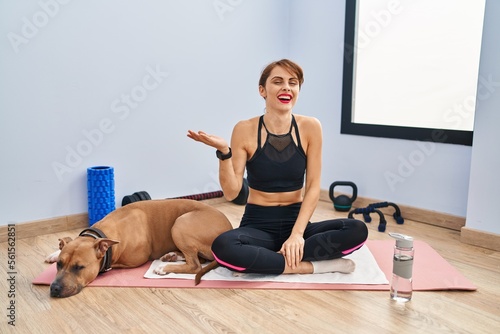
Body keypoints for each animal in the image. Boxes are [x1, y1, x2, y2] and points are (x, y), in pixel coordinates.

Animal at [46, 198, 231, 298]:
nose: (54, 288)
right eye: (59, 264)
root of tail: (228, 226)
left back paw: (164, 267)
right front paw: (55, 252)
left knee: (195, 265)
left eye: (80, 267)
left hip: (180, 223)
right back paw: (171, 255)